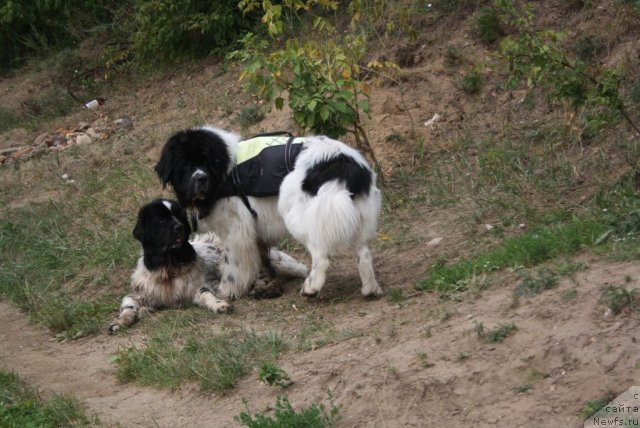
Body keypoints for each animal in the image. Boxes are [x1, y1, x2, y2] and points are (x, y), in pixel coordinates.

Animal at [109, 197, 308, 332]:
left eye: (180, 216)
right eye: (161, 220)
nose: (179, 227)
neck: (170, 266)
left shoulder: (203, 286)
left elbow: (207, 295)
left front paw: (220, 305)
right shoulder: (139, 294)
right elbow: (128, 305)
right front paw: (121, 321)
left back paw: (265, 290)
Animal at [152, 127, 382, 300]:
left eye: (206, 162)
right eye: (185, 166)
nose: (201, 178)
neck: (223, 173)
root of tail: (340, 160)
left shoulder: (236, 231)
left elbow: (232, 264)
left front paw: (227, 290)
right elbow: (262, 256)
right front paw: (266, 280)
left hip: (300, 215)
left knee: (321, 256)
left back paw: (311, 287)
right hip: (356, 215)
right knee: (364, 253)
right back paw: (370, 289)